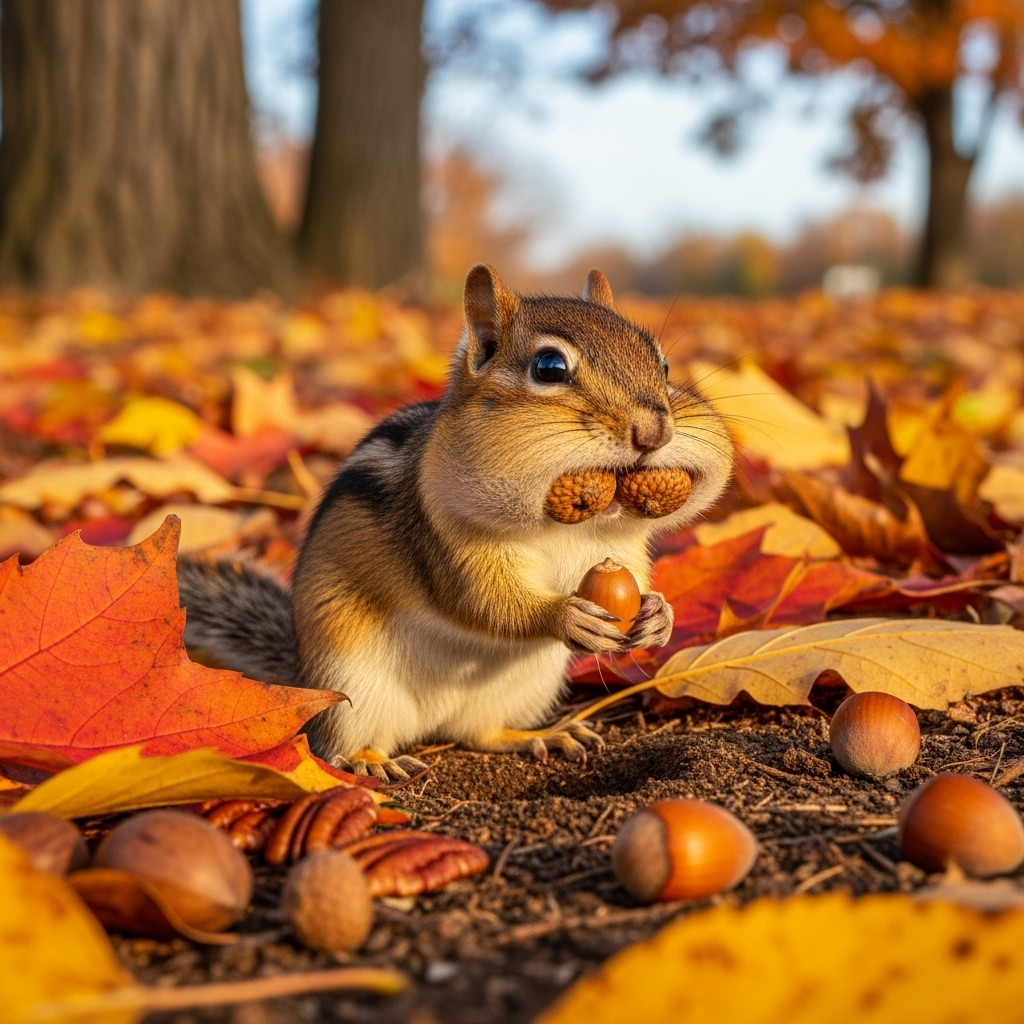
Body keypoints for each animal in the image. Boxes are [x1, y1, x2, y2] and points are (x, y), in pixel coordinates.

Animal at [177, 265, 733, 780]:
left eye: (662, 362)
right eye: (550, 366)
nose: (655, 430)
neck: (571, 526)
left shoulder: (624, 547)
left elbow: (636, 579)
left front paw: (660, 615)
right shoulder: (447, 541)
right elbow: (483, 602)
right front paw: (562, 617)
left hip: (525, 684)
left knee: (480, 734)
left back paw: (544, 735)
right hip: (350, 679)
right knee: (336, 743)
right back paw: (369, 761)